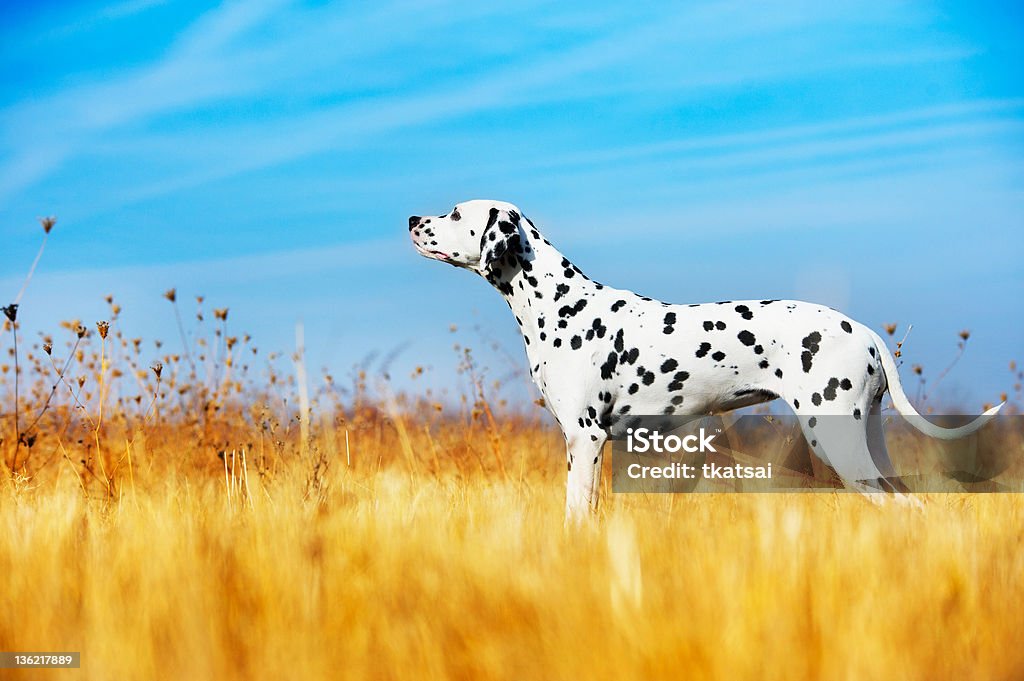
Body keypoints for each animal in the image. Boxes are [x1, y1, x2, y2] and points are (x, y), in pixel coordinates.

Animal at [405, 199, 999, 518]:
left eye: (455, 213)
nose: (411, 218)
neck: (557, 301)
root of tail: (867, 332)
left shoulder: (585, 439)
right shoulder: (583, 447)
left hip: (836, 441)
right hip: (865, 442)